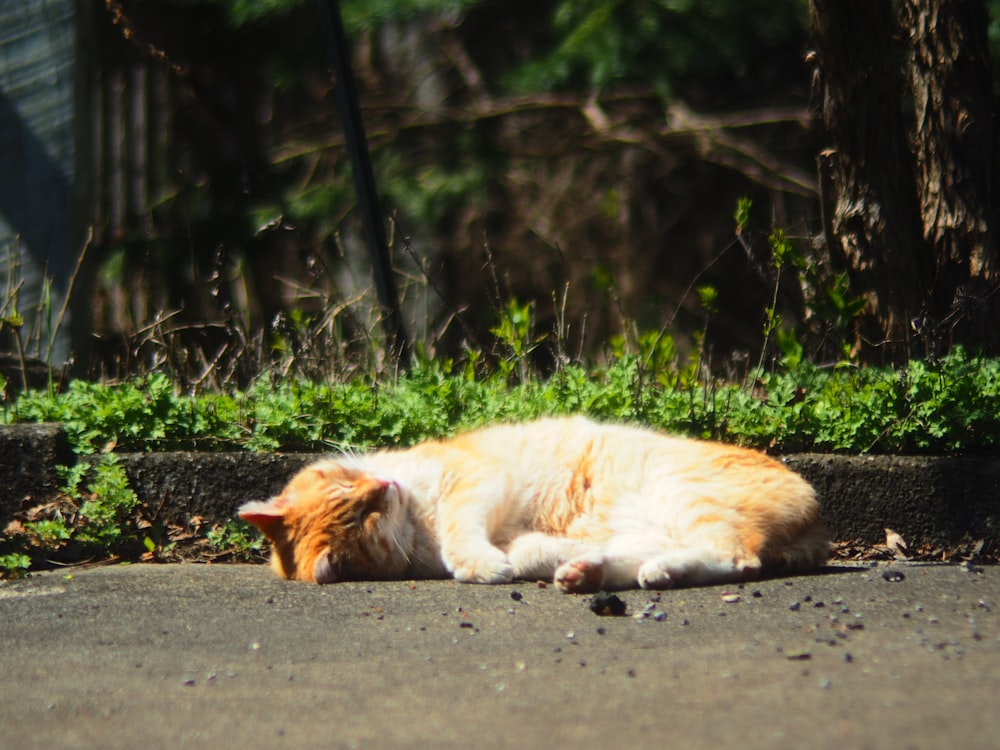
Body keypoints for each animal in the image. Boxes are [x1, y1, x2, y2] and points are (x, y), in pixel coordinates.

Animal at [240, 418, 828, 592]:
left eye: (356, 497)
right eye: (363, 517)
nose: (383, 489)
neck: (417, 520)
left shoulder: (472, 481)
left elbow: (461, 531)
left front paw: (476, 564)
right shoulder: (510, 531)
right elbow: (520, 554)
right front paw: (499, 564)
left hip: (678, 492)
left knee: (734, 556)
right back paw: (588, 571)